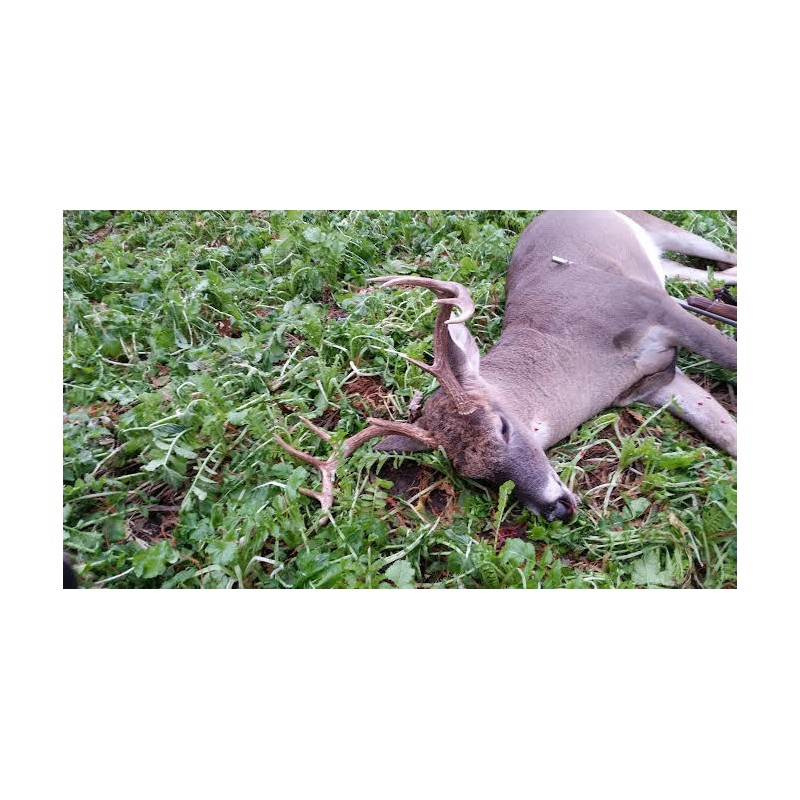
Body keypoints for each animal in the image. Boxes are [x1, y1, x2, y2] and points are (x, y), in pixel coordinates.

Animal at [275, 210, 737, 523]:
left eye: (502, 426)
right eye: (476, 477)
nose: (556, 509)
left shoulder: (652, 307)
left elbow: (730, 355)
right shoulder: (653, 383)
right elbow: (727, 434)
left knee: (723, 255)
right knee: (705, 272)